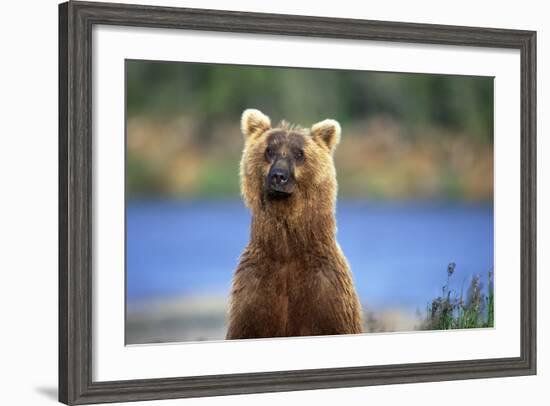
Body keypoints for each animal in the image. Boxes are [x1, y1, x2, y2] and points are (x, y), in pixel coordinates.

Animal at [226, 108, 364, 340]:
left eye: (299, 153)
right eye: (269, 150)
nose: (278, 176)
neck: (287, 250)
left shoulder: (326, 292)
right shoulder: (254, 291)